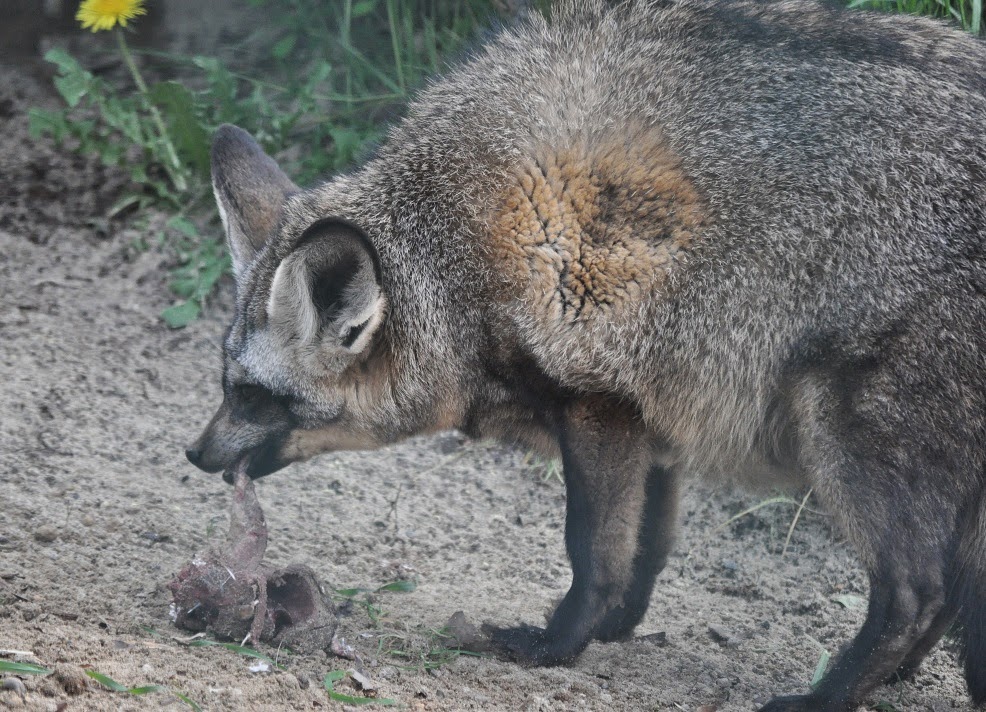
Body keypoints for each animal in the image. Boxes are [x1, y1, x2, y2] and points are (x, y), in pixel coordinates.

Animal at [185, 0, 986, 709]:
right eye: (226, 384)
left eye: (252, 395)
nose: (193, 454)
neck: (453, 241)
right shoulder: (653, 414)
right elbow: (642, 554)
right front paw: (611, 632)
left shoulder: (596, 402)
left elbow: (594, 554)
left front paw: (556, 645)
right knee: (948, 598)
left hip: (844, 441)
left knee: (918, 595)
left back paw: (826, 697)